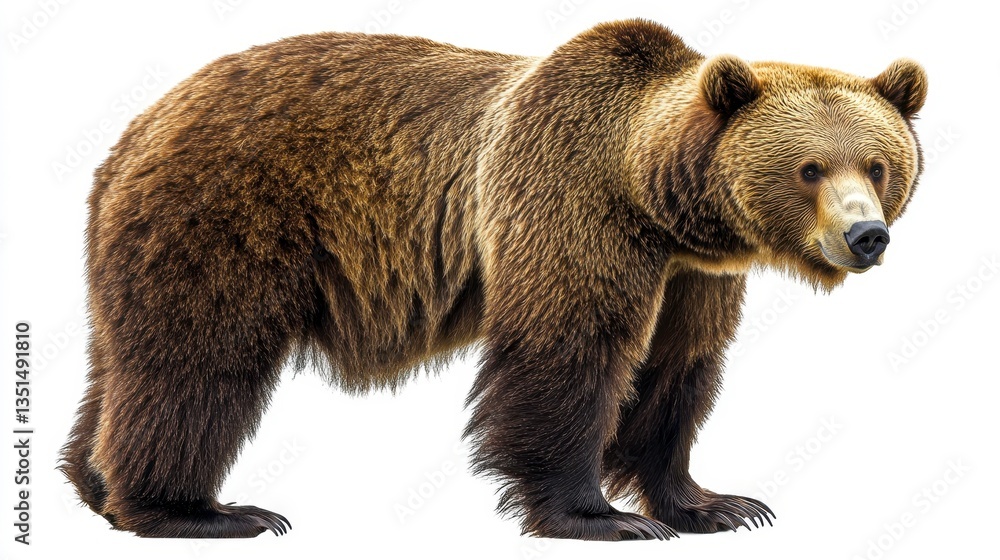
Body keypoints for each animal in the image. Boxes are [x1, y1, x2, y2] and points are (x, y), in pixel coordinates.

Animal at [60, 18, 926, 540]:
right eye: (810, 167)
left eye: (878, 164)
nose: (866, 235)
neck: (652, 196)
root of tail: (141, 125)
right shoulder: (567, 203)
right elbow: (568, 355)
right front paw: (600, 516)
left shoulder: (694, 273)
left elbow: (677, 371)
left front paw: (716, 504)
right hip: (227, 213)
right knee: (199, 360)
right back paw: (199, 510)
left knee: (123, 359)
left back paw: (92, 481)